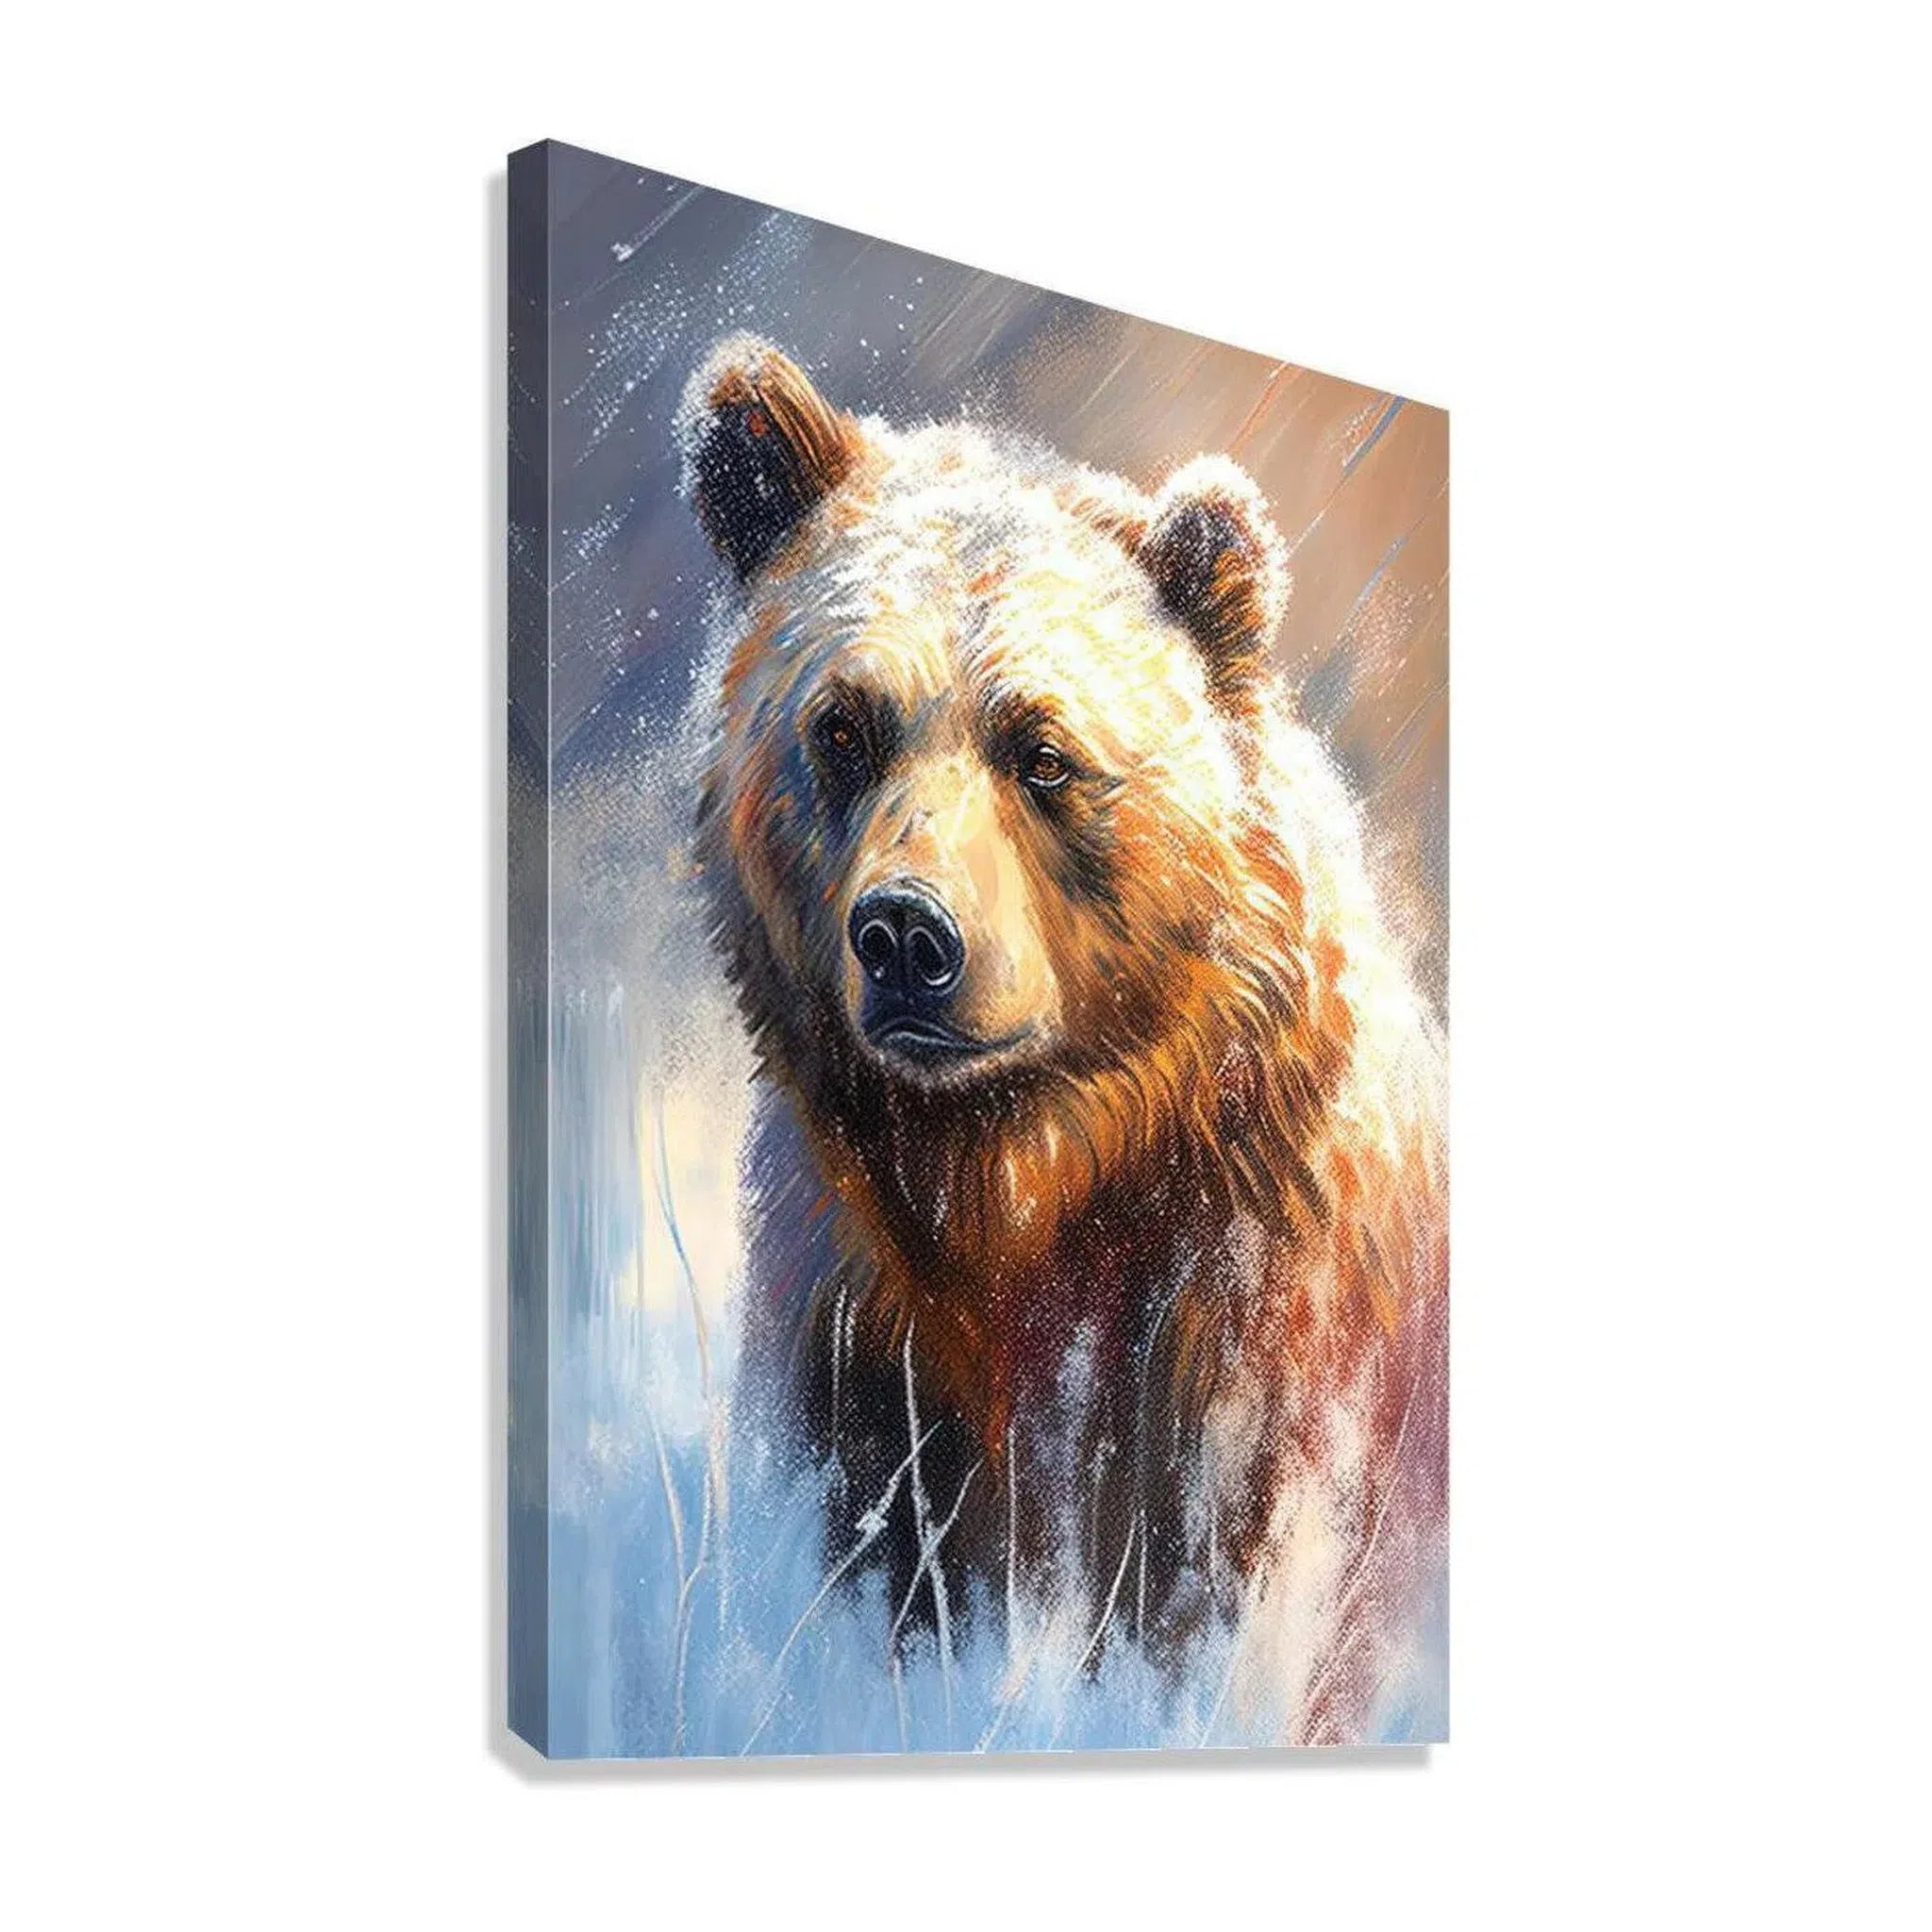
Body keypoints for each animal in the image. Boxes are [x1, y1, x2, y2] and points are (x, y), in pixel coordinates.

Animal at [679, 334, 1448, 1744]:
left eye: (1041, 751)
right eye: (841, 725)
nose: (907, 936)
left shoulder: (1241, 1310)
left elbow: (1214, 1583)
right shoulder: (867, 1329)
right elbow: (892, 1554)